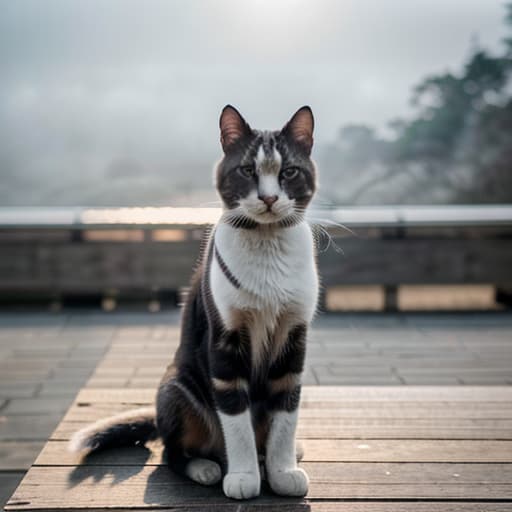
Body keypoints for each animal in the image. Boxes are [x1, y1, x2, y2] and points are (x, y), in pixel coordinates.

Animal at [70, 105, 318, 500]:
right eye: (247, 171)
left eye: (289, 172)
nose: (268, 198)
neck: (266, 243)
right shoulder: (224, 341)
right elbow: (235, 420)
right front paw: (243, 476)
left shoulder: (294, 338)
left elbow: (286, 413)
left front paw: (282, 472)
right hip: (176, 386)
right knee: (173, 451)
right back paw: (205, 467)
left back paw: (284, 453)